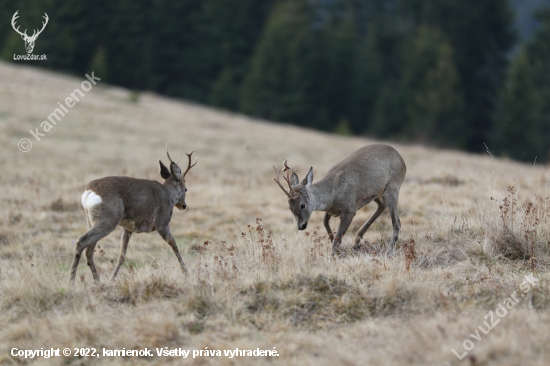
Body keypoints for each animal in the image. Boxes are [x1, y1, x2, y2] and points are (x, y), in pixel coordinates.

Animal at [70, 145, 197, 284]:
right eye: (186, 189)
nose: (183, 205)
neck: (169, 194)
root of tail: (87, 192)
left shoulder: (127, 228)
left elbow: (121, 256)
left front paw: (112, 279)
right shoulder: (162, 222)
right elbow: (174, 245)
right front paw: (186, 273)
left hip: (92, 220)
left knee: (89, 251)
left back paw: (98, 281)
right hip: (108, 219)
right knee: (81, 242)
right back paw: (71, 282)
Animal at [274, 144, 408, 256]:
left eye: (302, 205)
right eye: (289, 207)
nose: (300, 226)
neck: (331, 194)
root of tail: (402, 161)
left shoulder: (349, 210)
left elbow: (337, 239)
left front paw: (332, 257)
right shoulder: (332, 210)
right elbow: (325, 223)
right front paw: (338, 250)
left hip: (393, 186)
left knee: (397, 222)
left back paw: (388, 253)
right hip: (372, 193)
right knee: (382, 204)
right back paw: (356, 241)